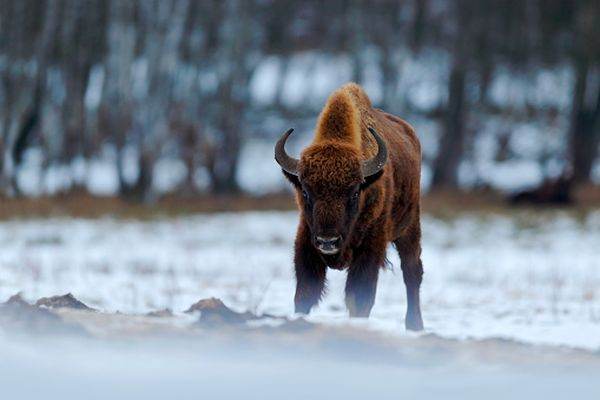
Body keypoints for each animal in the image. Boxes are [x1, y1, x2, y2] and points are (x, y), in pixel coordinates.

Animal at [274, 82, 424, 332]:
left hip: (409, 227)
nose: (328, 241)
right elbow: (304, 295)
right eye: (305, 192)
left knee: (412, 271)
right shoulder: (306, 242)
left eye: (354, 193)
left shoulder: (370, 249)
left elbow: (359, 299)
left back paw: (415, 325)